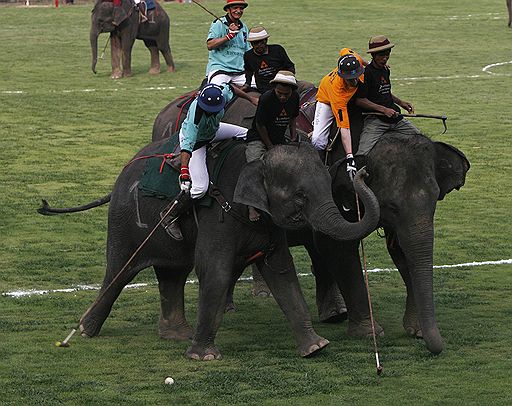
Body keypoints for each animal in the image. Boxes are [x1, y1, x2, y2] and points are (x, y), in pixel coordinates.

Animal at [39, 139, 380, 358]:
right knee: (118, 273)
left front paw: (316, 348)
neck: (256, 160)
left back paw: (177, 335)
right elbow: (214, 270)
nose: (360, 171)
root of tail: (122, 173)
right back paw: (85, 331)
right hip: (125, 221)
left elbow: (282, 271)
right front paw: (203, 357)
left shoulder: (267, 225)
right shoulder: (217, 214)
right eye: (299, 196)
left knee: (172, 274)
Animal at [153, 87, 472, 354]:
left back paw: (331, 313)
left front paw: (415, 331)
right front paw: (370, 333)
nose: (435, 349)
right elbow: (337, 248)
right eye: (390, 204)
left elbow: (402, 252)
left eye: (436, 198)